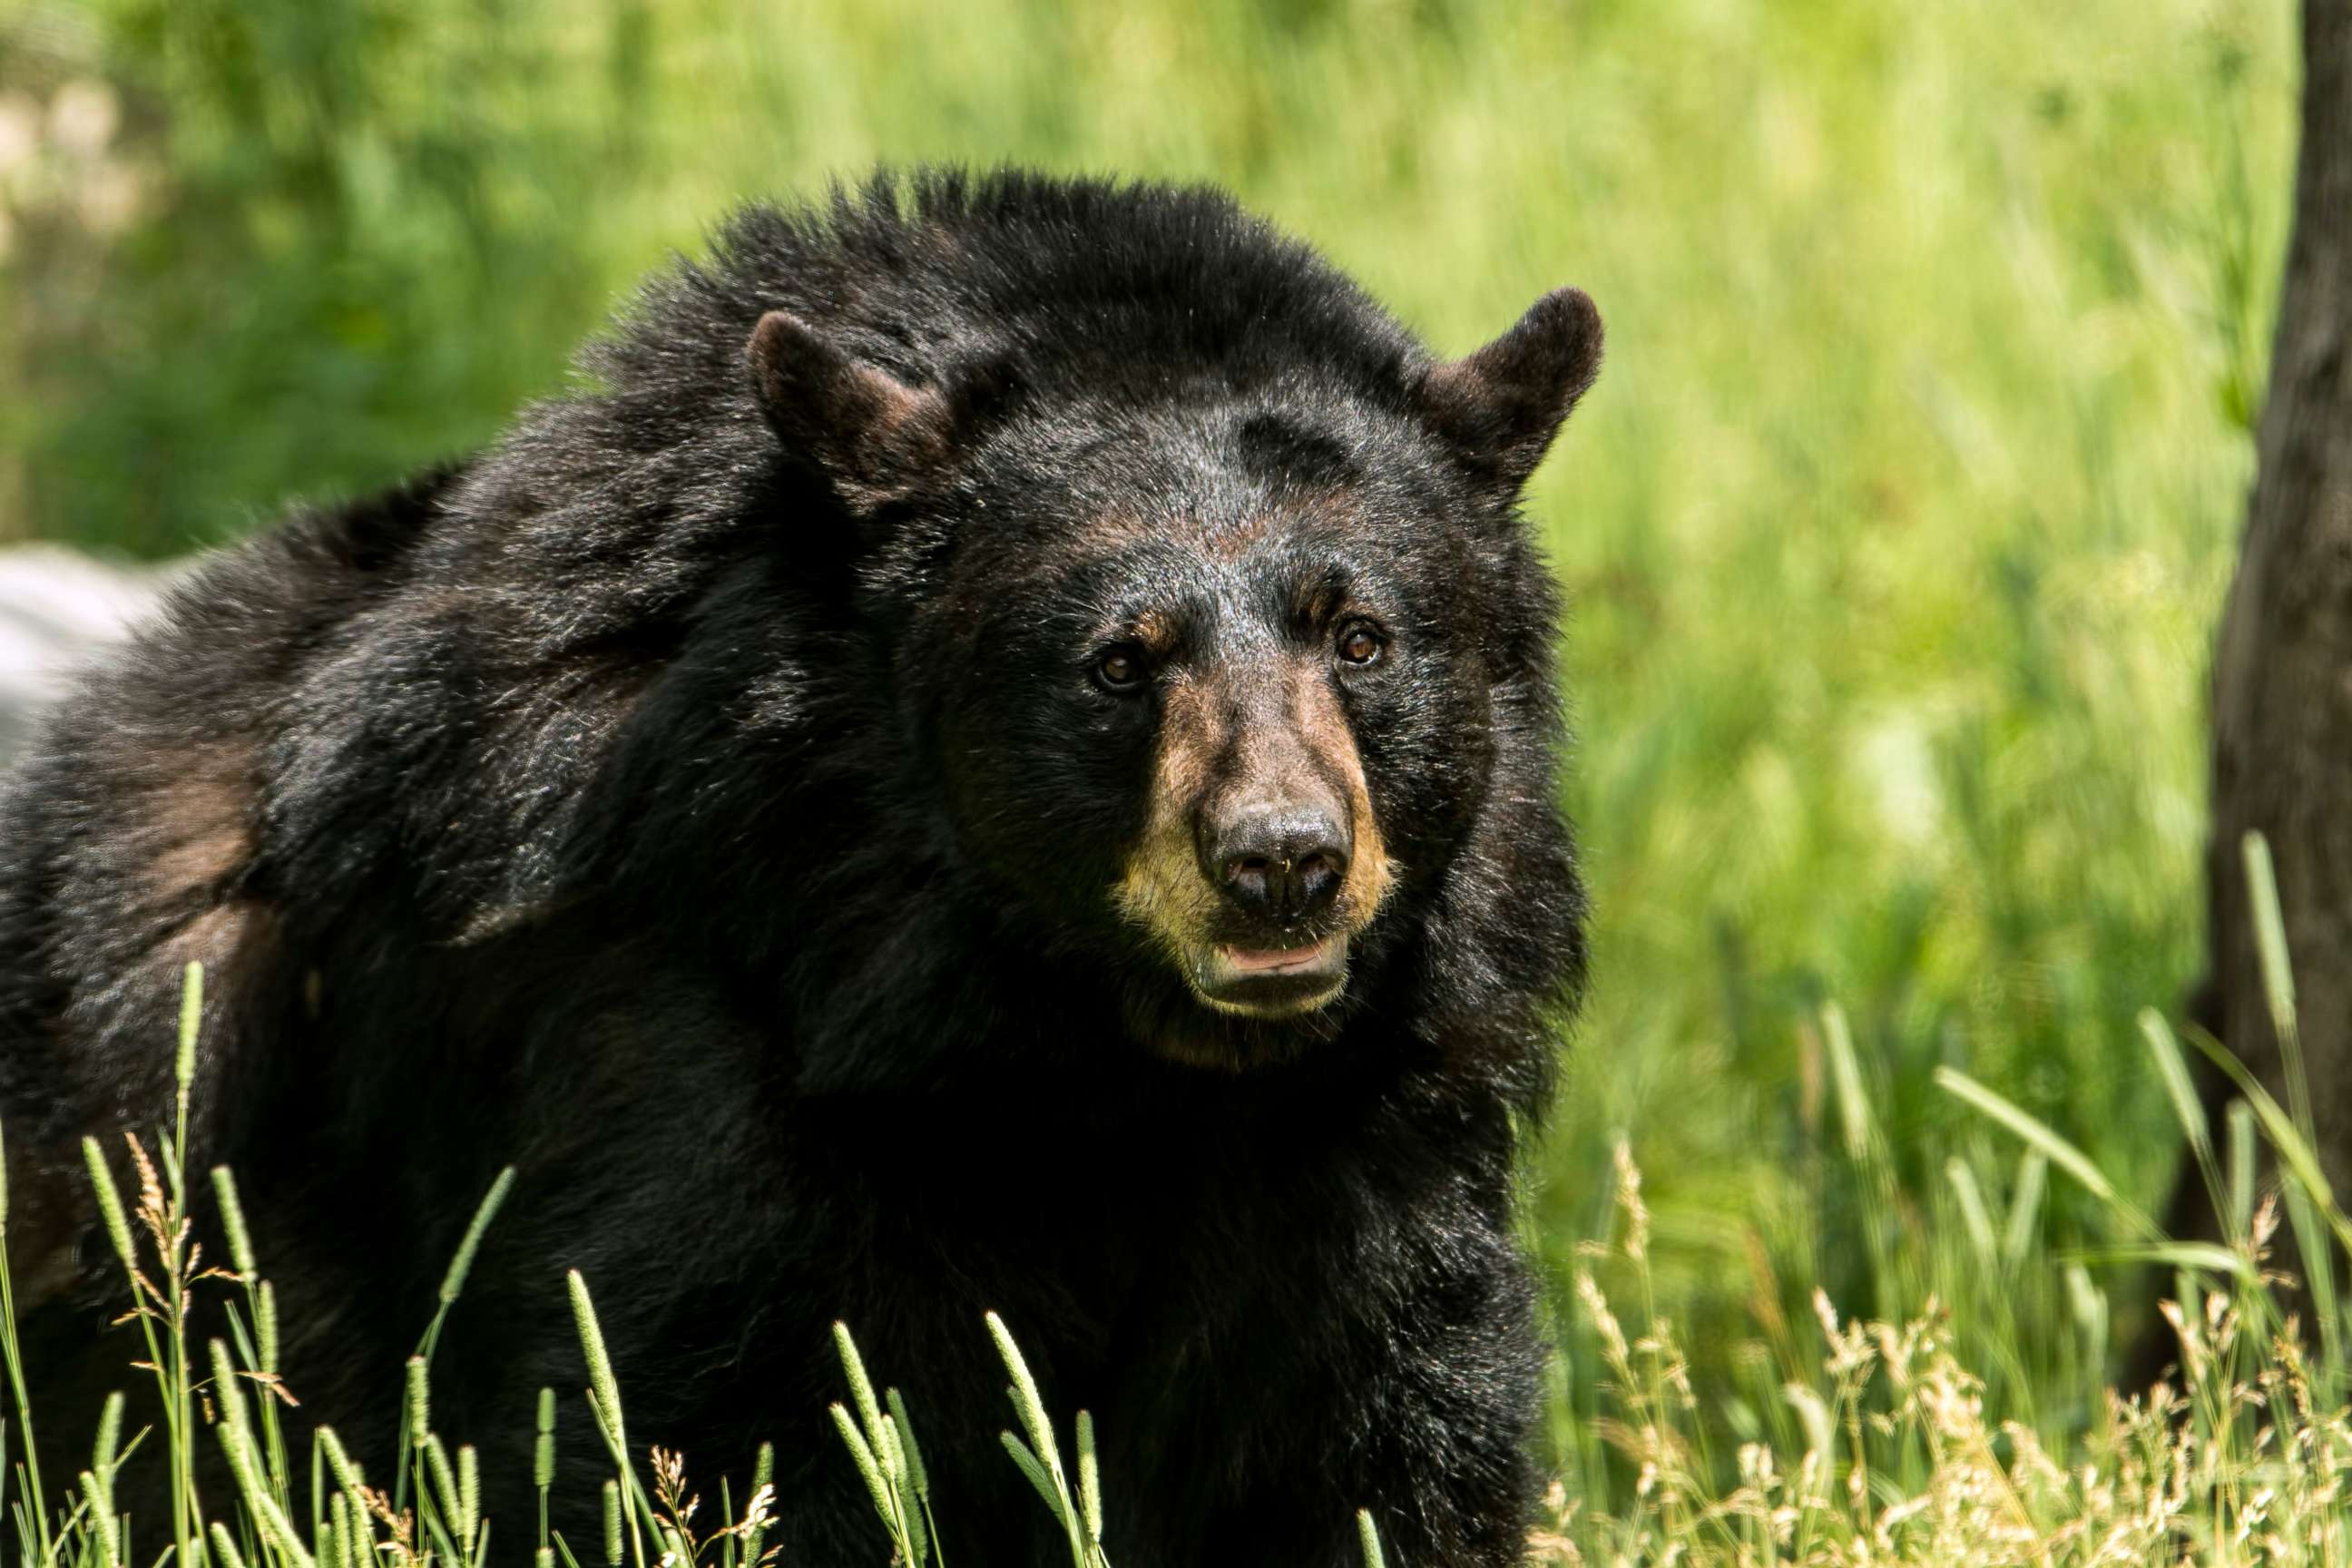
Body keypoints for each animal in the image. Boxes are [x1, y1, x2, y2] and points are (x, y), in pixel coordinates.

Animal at [0, 172, 1599, 1568]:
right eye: (1118, 662)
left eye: (1362, 636)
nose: (1280, 864)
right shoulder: (690, 1040)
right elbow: (706, 1427)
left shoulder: (1370, 1130)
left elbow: (1375, 1435)